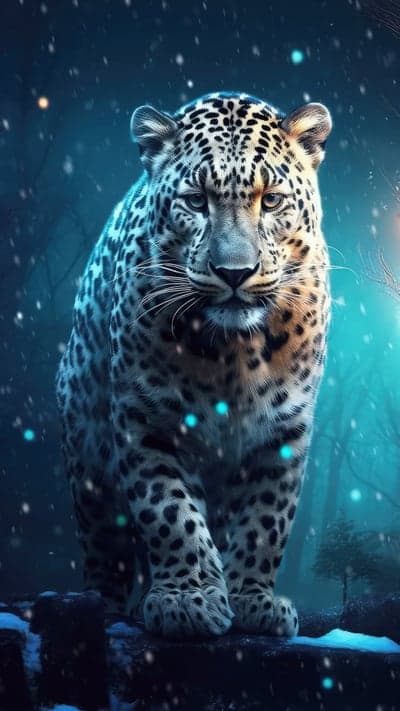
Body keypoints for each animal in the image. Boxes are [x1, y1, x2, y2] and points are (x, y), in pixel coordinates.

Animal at [56, 90, 332, 640]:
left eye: (271, 200)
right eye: (196, 201)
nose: (235, 273)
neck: (234, 356)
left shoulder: (285, 431)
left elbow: (267, 519)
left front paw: (252, 600)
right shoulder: (146, 418)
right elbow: (169, 511)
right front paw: (188, 600)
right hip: (86, 450)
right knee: (104, 540)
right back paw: (101, 603)